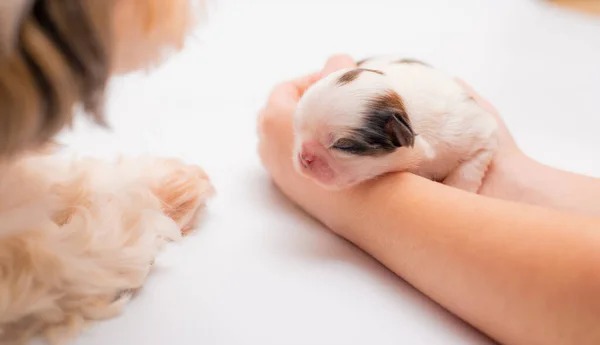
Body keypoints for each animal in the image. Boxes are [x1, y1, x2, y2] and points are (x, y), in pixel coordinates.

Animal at [294, 55, 496, 192]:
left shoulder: (477, 133)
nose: (304, 156)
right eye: (297, 129)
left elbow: (470, 166)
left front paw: (458, 188)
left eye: (343, 146)